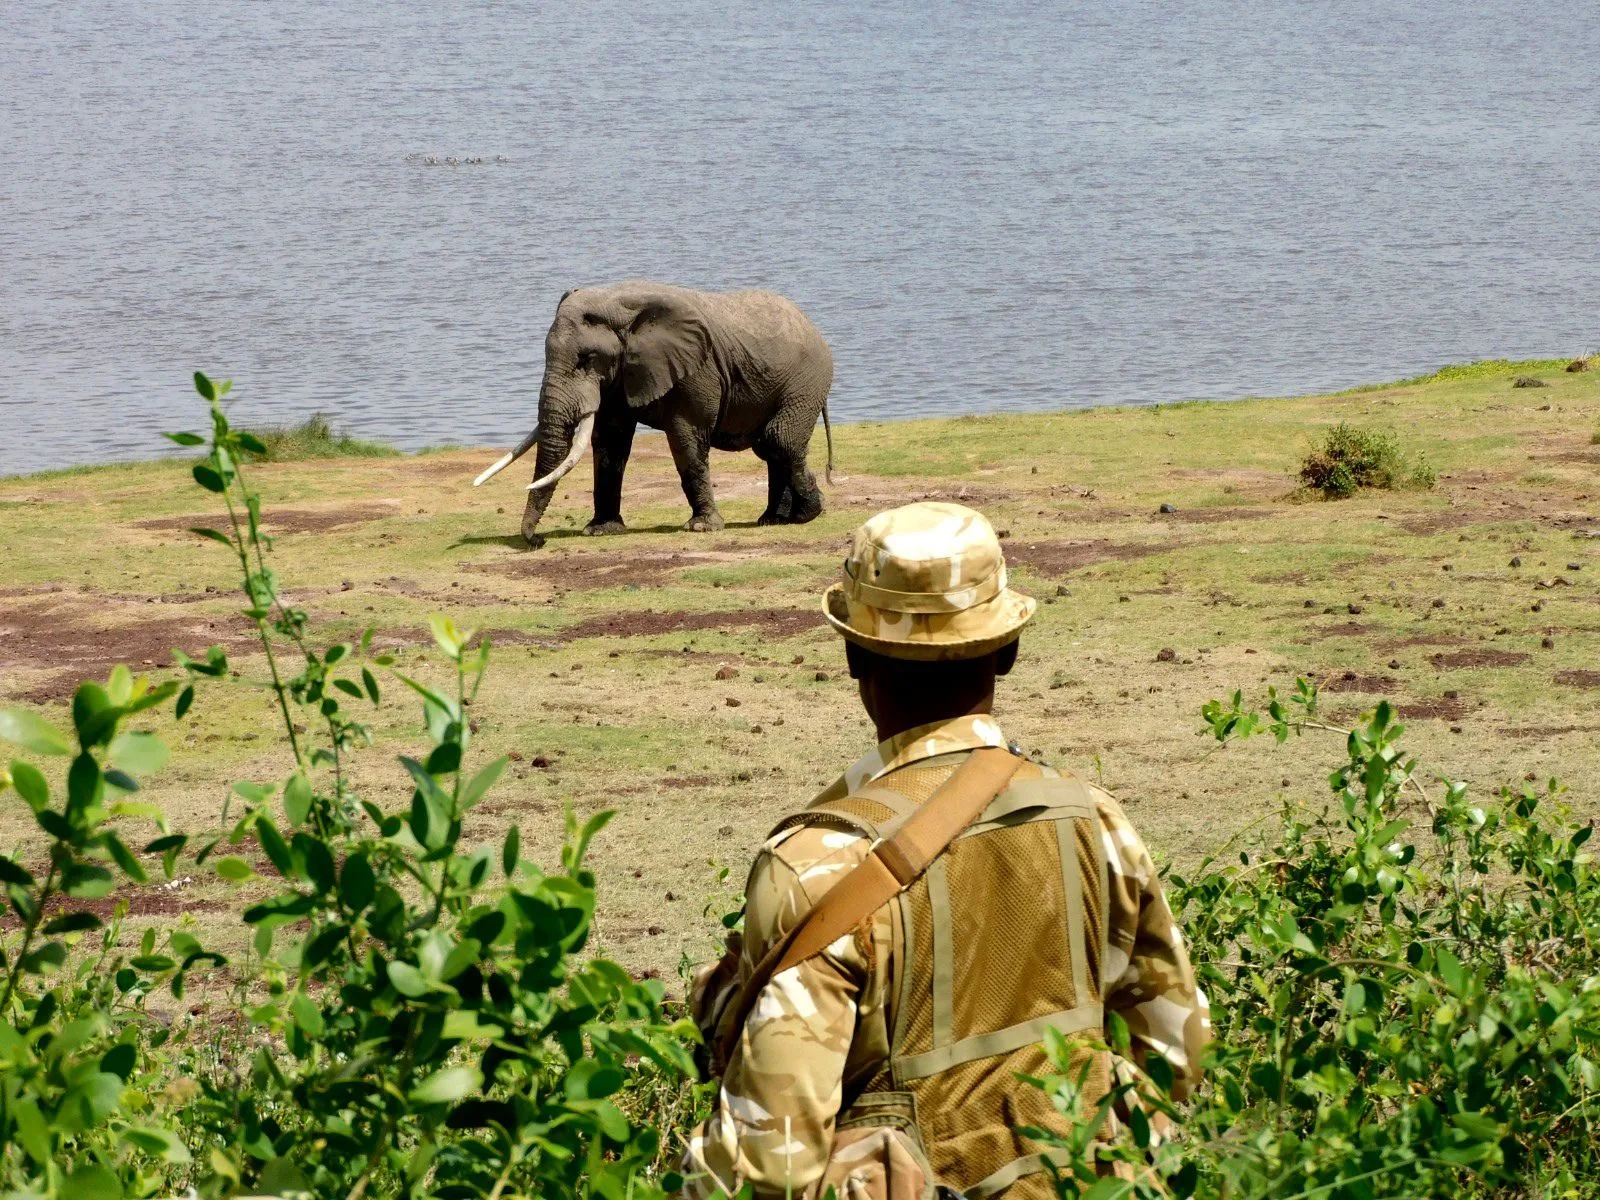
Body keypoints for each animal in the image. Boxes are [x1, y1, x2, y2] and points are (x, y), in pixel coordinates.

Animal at [474, 282, 835, 547]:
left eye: (587, 359)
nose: (538, 541)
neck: (619, 306)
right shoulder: (620, 376)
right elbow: (611, 442)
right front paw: (601, 530)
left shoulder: (696, 370)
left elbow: (686, 437)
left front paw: (702, 528)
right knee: (772, 446)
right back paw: (774, 519)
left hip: (805, 381)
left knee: (778, 440)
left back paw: (807, 514)